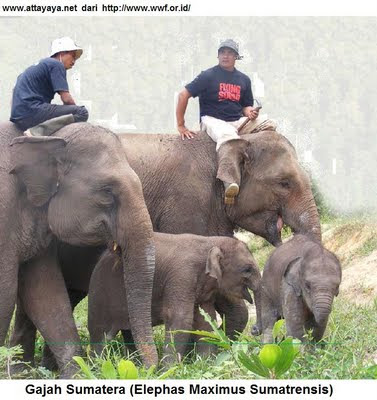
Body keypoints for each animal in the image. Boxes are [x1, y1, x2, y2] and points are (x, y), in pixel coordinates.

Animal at [0, 121, 156, 376]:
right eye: (107, 192)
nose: (150, 369)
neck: (47, 139)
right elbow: (6, 292)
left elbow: (46, 290)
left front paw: (77, 374)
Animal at [88, 231, 260, 362]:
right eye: (247, 270)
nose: (254, 331)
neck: (210, 242)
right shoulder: (181, 275)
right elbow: (180, 318)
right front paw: (170, 369)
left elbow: (205, 319)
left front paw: (204, 363)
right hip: (100, 292)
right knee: (100, 334)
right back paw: (98, 364)